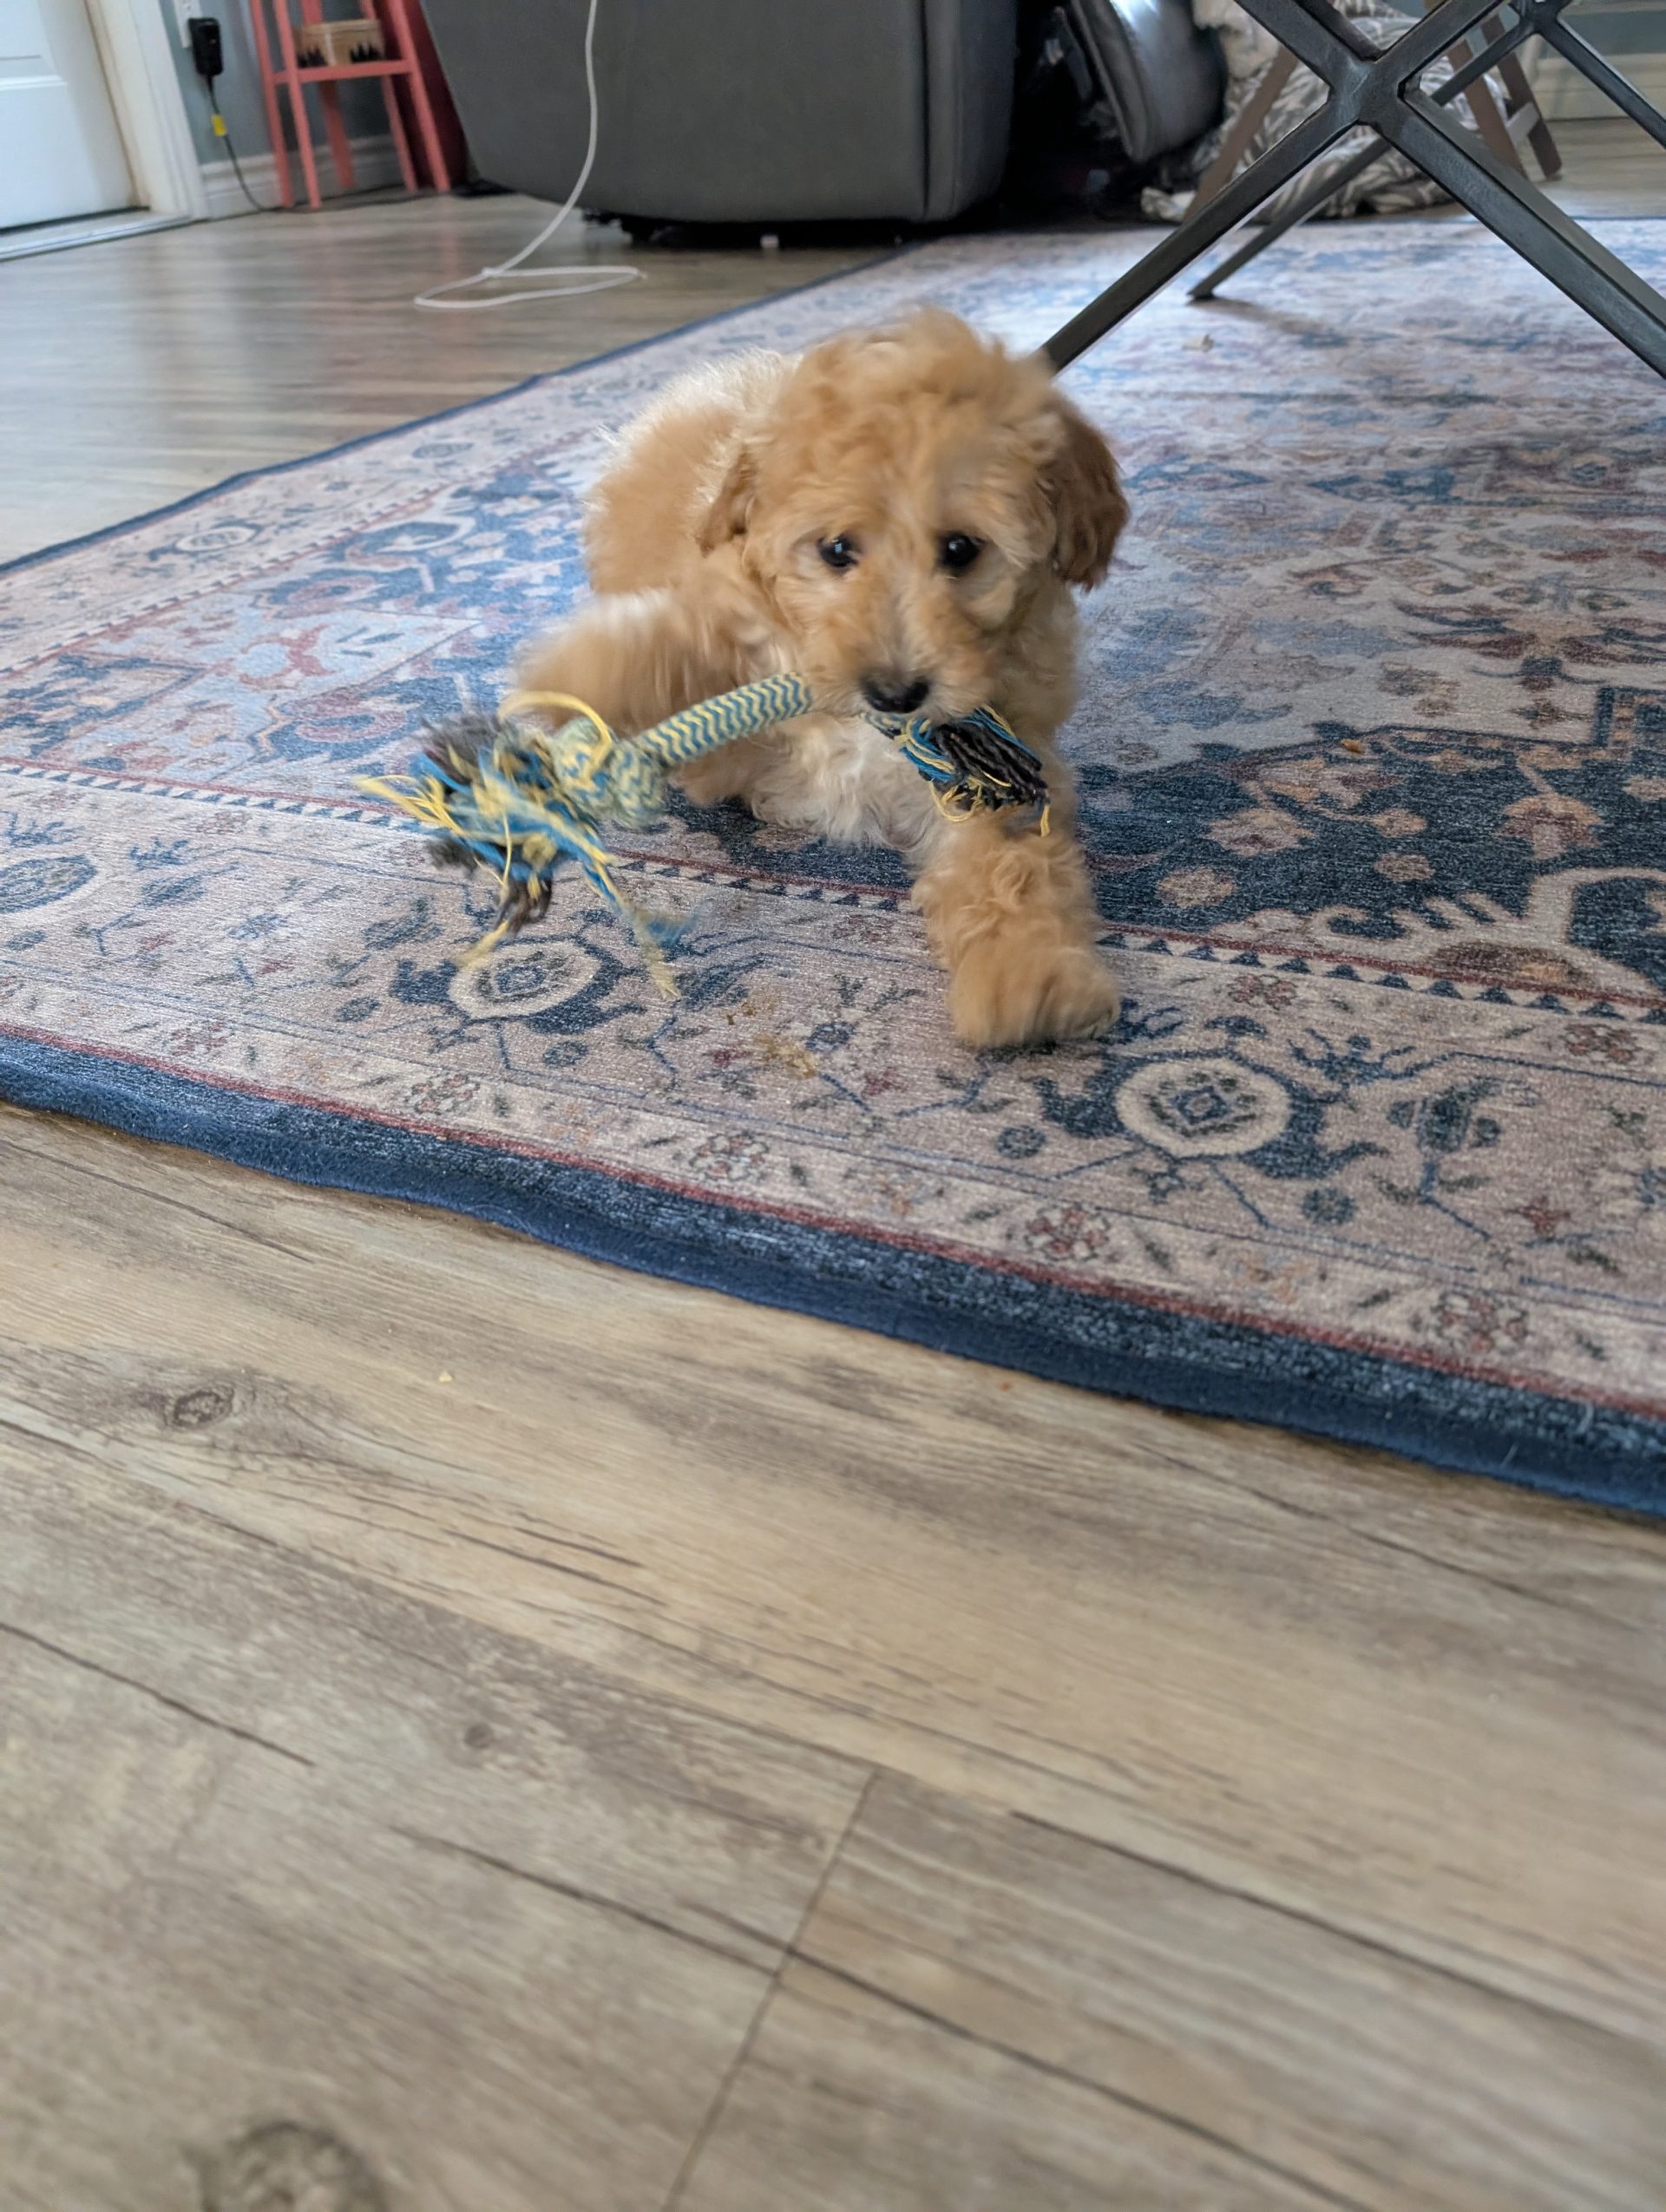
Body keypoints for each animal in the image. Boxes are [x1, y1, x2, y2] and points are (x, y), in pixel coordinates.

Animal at [518, 309, 1127, 1047]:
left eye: (961, 549)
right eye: (837, 549)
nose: (894, 691)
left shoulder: (993, 772)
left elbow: (1010, 865)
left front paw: (1032, 975)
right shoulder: (731, 640)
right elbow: (685, 649)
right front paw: (579, 674)